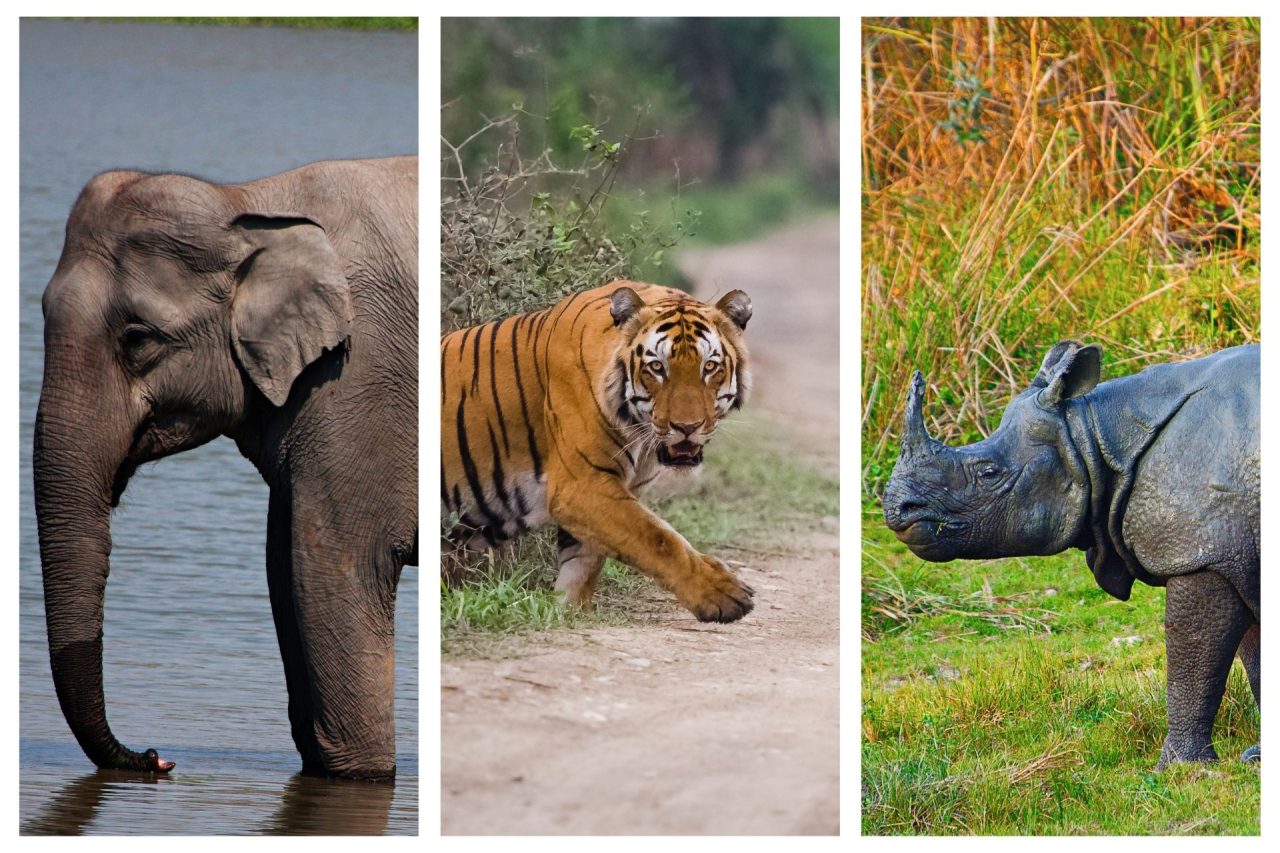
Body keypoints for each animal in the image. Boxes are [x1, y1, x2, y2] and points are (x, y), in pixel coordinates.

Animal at [33, 156, 419, 778]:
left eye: (137, 338)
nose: (157, 757)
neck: (246, 206)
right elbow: (284, 571)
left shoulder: (358, 380)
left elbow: (334, 568)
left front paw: (363, 775)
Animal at [442, 281, 752, 622]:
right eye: (657, 367)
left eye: (709, 367)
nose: (687, 426)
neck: (641, 437)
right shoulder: (581, 486)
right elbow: (657, 538)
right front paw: (721, 593)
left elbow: (584, 562)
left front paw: (569, 610)